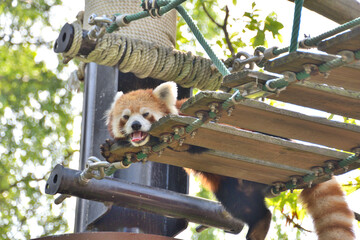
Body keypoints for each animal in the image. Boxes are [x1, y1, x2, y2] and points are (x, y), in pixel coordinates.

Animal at [105, 81, 354, 239]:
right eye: (126, 117)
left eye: (145, 114)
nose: (136, 126)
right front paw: (109, 147)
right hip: (232, 187)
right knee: (246, 207)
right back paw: (259, 226)